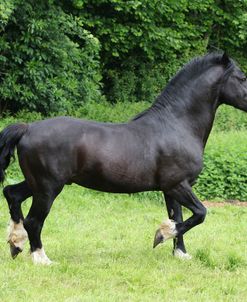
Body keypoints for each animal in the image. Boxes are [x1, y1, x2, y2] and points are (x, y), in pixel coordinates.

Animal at [0, 52, 247, 264]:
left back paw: (16, 243)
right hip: (48, 188)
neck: (177, 125)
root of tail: (27, 128)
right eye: (242, 78)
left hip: (38, 183)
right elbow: (200, 213)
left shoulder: (171, 189)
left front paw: (180, 253)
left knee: (12, 194)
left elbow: (179, 217)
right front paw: (160, 235)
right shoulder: (178, 185)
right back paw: (41, 258)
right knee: (33, 221)